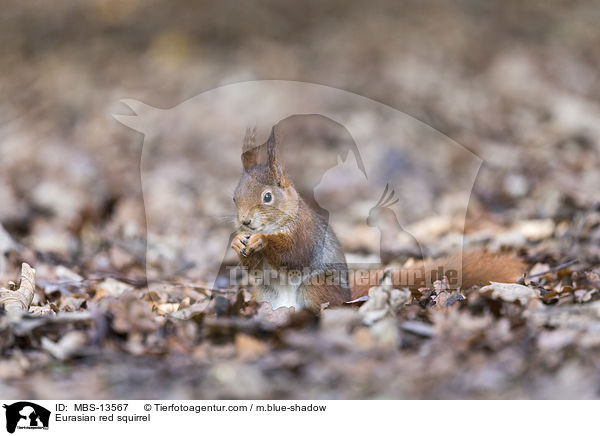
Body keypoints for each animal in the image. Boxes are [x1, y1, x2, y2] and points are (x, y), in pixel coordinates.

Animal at [230, 124, 524, 312]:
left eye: (268, 197)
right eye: (234, 197)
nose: (245, 222)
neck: (278, 223)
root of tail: (348, 297)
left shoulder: (306, 232)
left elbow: (293, 254)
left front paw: (261, 241)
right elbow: (255, 269)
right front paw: (236, 242)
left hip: (316, 287)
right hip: (264, 294)